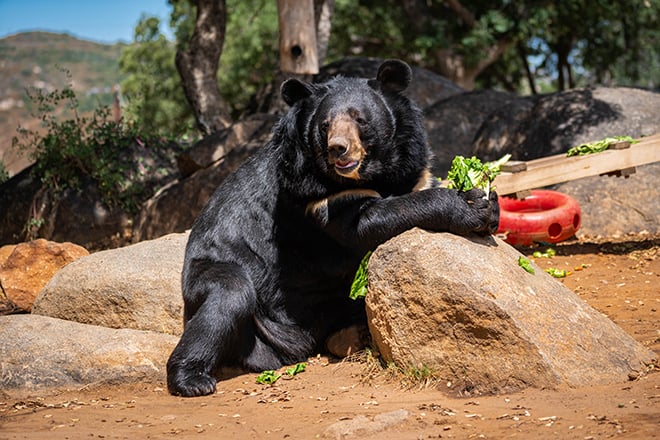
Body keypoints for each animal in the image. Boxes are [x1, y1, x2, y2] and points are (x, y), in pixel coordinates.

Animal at [168, 58, 498, 396]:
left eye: (360, 119)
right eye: (325, 125)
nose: (338, 148)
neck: (370, 174)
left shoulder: (412, 164)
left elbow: (418, 185)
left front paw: (484, 201)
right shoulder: (311, 192)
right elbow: (364, 223)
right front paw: (467, 208)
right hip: (211, 273)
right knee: (227, 298)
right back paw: (192, 380)